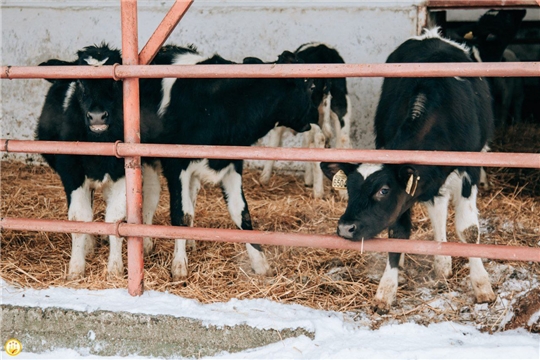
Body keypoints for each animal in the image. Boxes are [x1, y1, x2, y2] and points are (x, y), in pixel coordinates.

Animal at [35, 43, 162, 280]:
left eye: (115, 82)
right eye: (80, 82)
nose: (96, 116)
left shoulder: (121, 172)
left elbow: (115, 217)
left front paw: (115, 268)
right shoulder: (72, 172)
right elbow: (79, 217)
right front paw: (76, 267)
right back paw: (90, 244)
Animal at [155, 47, 316, 280]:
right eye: (312, 86)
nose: (316, 115)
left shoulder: (231, 163)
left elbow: (241, 213)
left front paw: (260, 262)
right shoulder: (175, 164)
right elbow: (180, 213)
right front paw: (179, 266)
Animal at [260, 44, 352, 200]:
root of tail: (324, 50)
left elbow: (274, 141)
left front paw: (264, 178)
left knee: (320, 138)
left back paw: (318, 192)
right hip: (342, 106)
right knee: (343, 140)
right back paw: (343, 193)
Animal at [320, 28, 498, 312]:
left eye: (383, 190)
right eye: (348, 186)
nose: (345, 228)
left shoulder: (468, 171)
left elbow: (469, 231)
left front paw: (482, 285)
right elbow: (398, 231)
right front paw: (387, 288)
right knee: (437, 210)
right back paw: (440, 262)